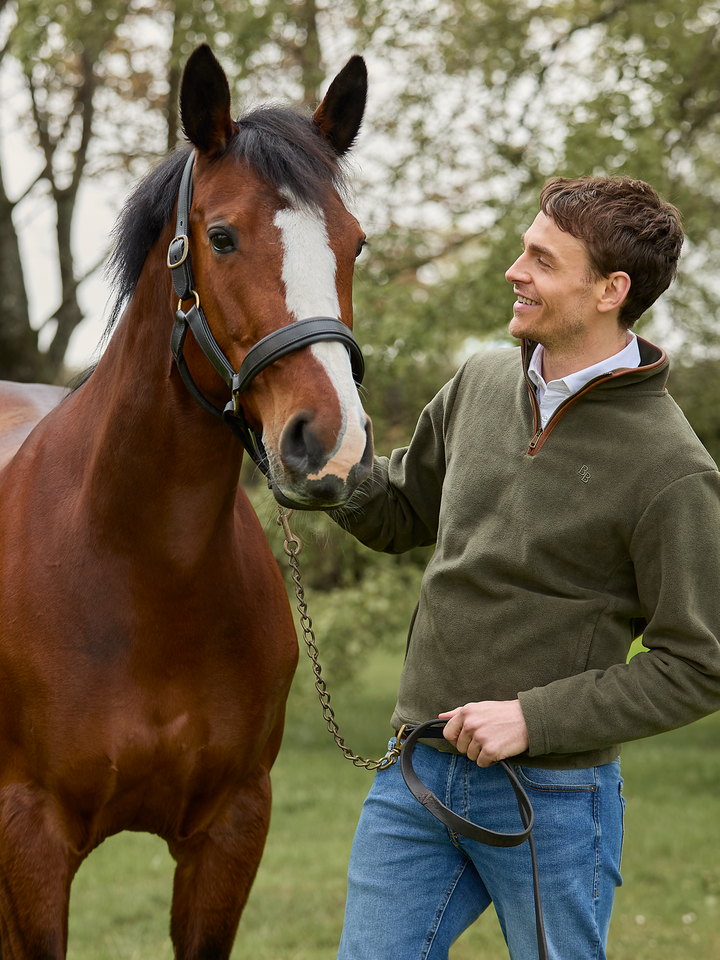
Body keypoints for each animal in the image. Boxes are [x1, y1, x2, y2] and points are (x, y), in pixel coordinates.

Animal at [0, 45, 372, 960]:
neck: (139, 571)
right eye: (222, 235)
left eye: (355, 243)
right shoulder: (29, 835)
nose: (333, 444)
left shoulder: (230, 828)